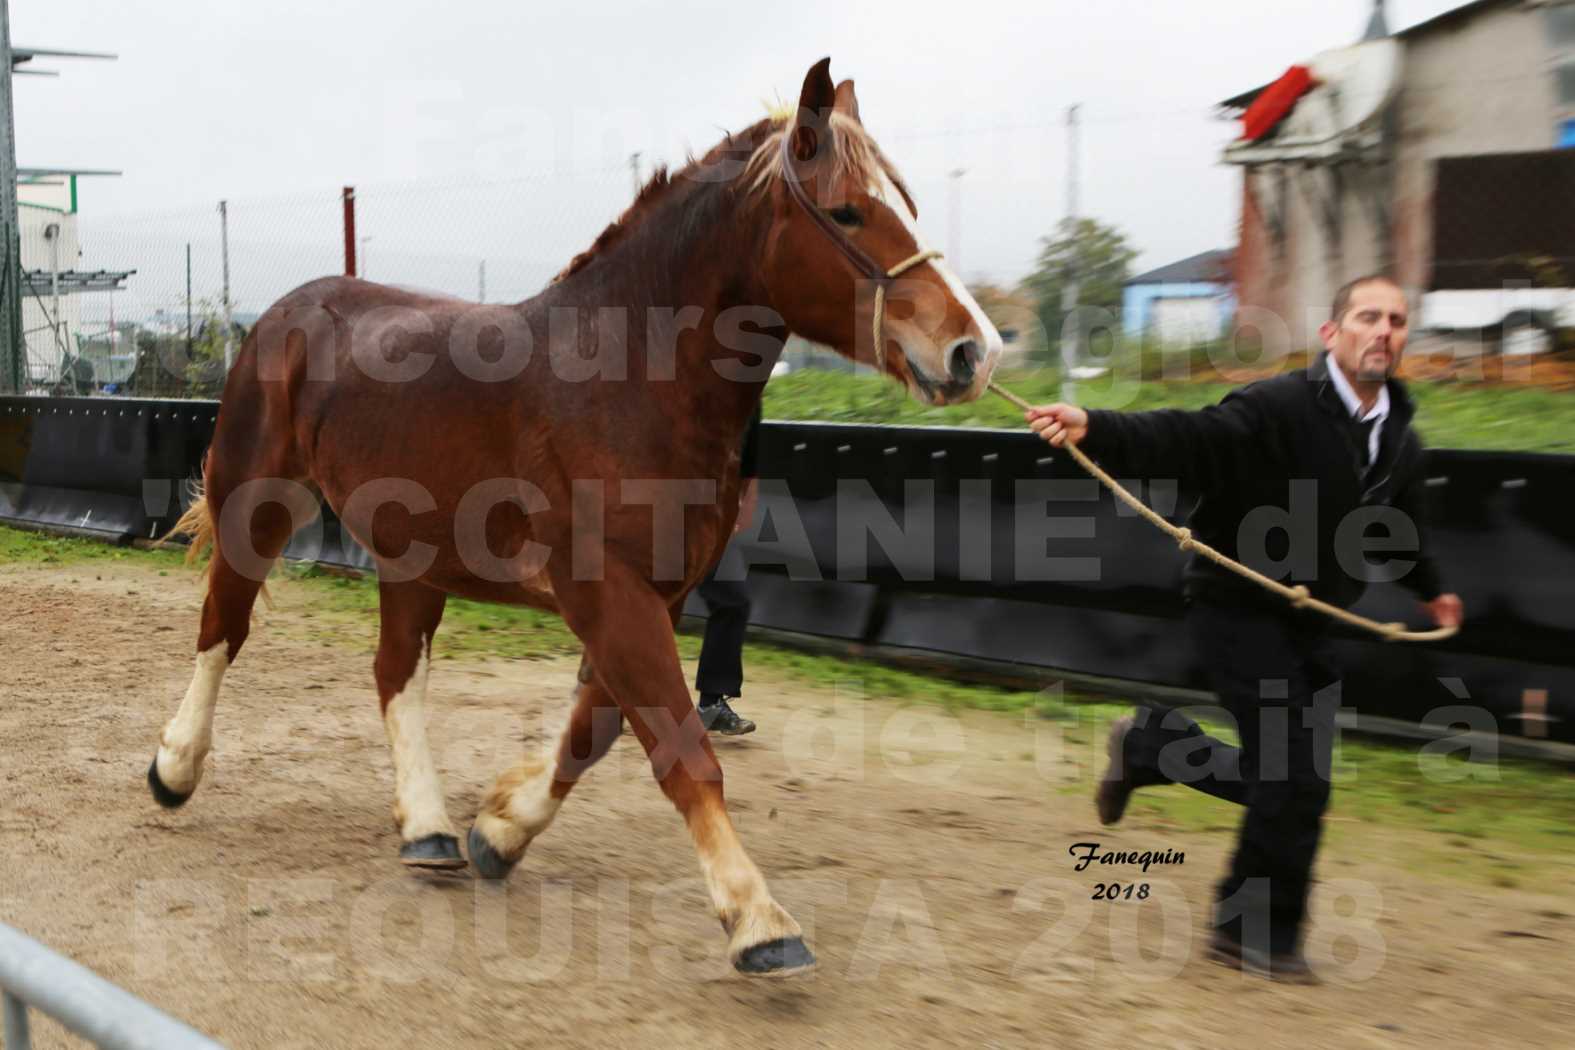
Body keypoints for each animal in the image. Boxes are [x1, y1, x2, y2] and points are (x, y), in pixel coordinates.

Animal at [153, 57, 1001, 976]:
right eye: (847, 210)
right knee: (222, 630)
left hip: (413, 556)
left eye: (905, 203)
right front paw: (759, 921)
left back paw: (428, 831)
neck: (627, 376)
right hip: (257, 503)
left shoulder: (655, 597)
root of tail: (283, 312)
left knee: (394, 672)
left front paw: (499, 833)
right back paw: (175, 769)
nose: (972, 350)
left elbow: (593, 733)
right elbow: (682, 750)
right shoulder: (610, 595)